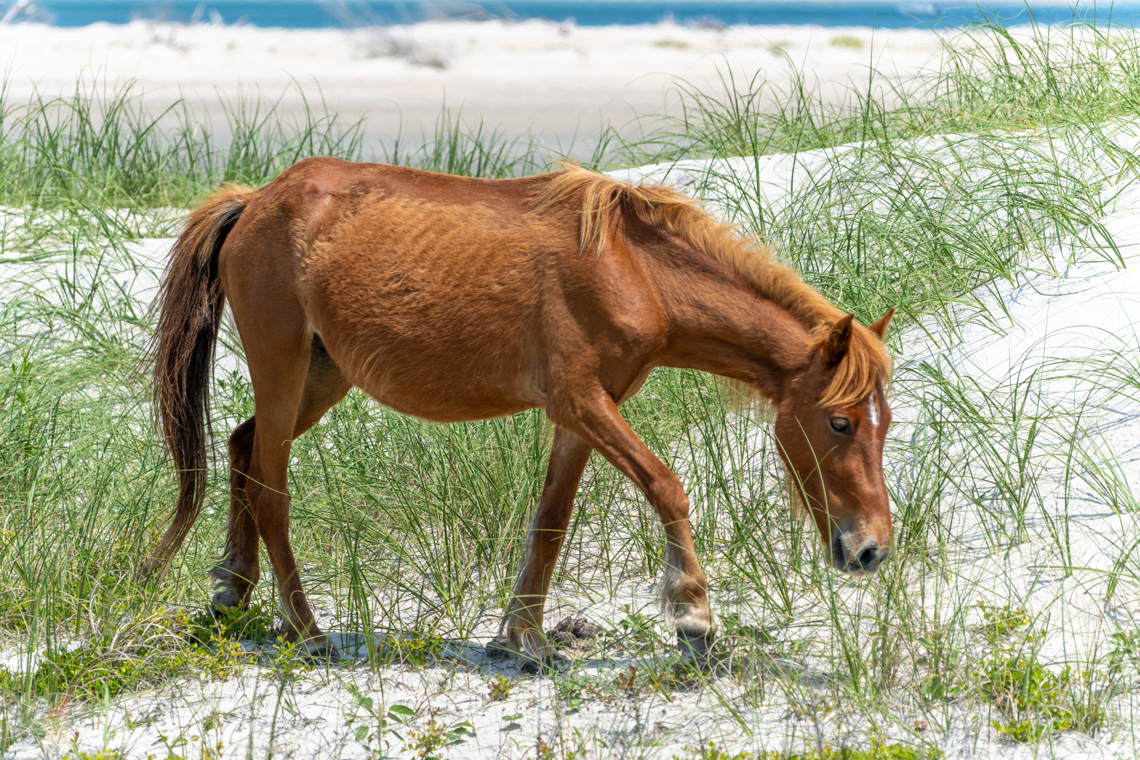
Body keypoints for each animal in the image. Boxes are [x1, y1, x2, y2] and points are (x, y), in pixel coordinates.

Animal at [146, 159, 895, 670]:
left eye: (882, 424)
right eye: (840, 423)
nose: (871, 550)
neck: (632, 270)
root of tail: (254, 200)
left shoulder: (583, 414)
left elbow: (551, 522)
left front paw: (524, 639)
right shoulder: (581, 401)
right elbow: (666, 485)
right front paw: (693, 616)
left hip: (321, 377)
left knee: (242, 450)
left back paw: (233, 591)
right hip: (284, 371)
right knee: (270, 489)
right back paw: (305, 629)